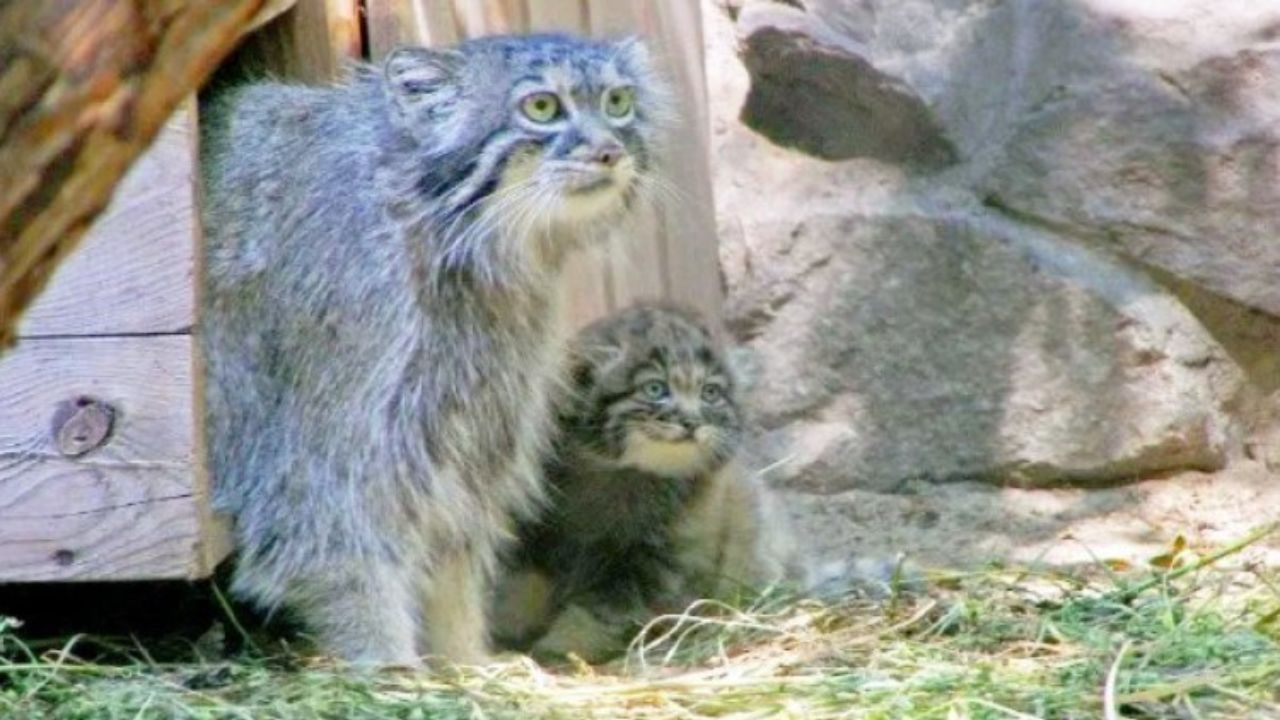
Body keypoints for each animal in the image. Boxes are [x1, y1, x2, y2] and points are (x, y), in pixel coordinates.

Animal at [199, 32, 670, 661]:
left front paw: (464, 658)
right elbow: (336, 541)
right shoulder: (332, 439)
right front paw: (389, 663)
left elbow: (455, 543)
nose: (609, 152)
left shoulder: (483, 406)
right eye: (542, 107)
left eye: (618, 101)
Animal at [491, 299, 783, 661]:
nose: (691, 422)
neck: (616, 474)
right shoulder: (536, 530)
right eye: (655, 389)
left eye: (710, 393)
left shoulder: (650, 556)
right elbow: (521, 585)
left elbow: (604, 609)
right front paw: (504, 634)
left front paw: (565, 647)